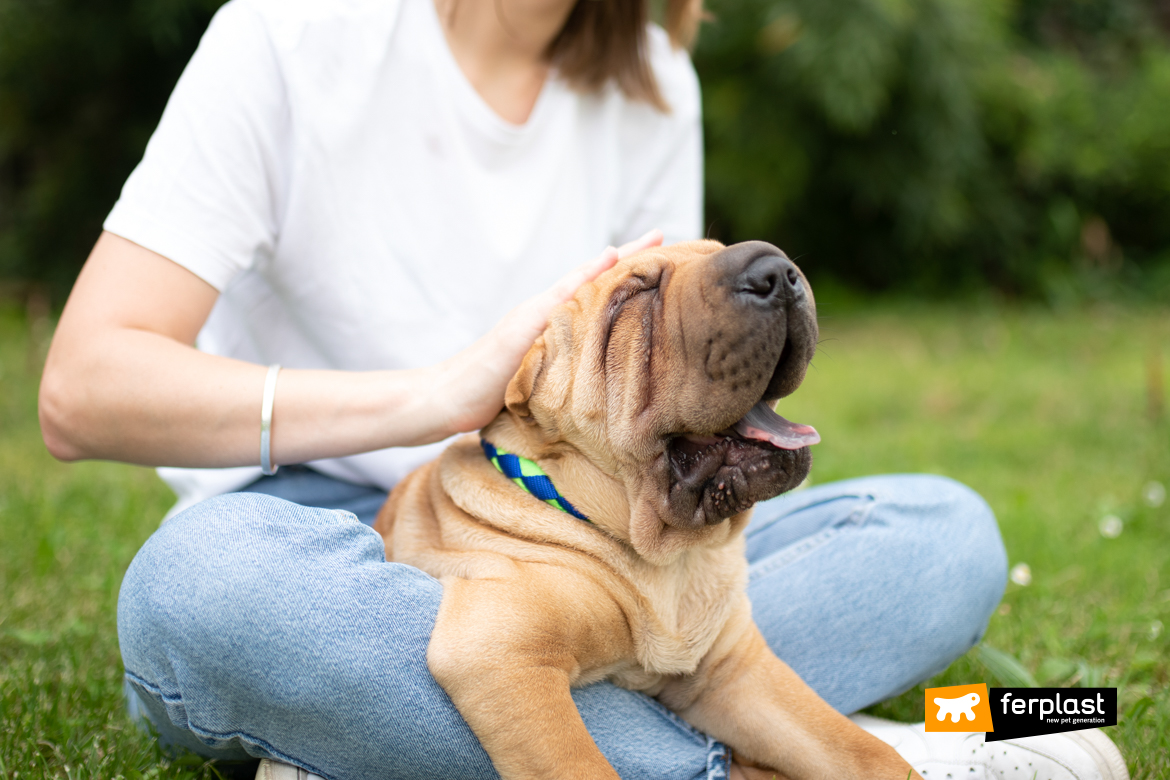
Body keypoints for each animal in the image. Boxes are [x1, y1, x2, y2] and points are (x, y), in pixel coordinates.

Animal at [374, 240, 921, 780]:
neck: (666, 561)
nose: (777, 272)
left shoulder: (735, 671)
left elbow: (867, 753)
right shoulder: (505, 651)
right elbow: (581, 765)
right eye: (636, 297)